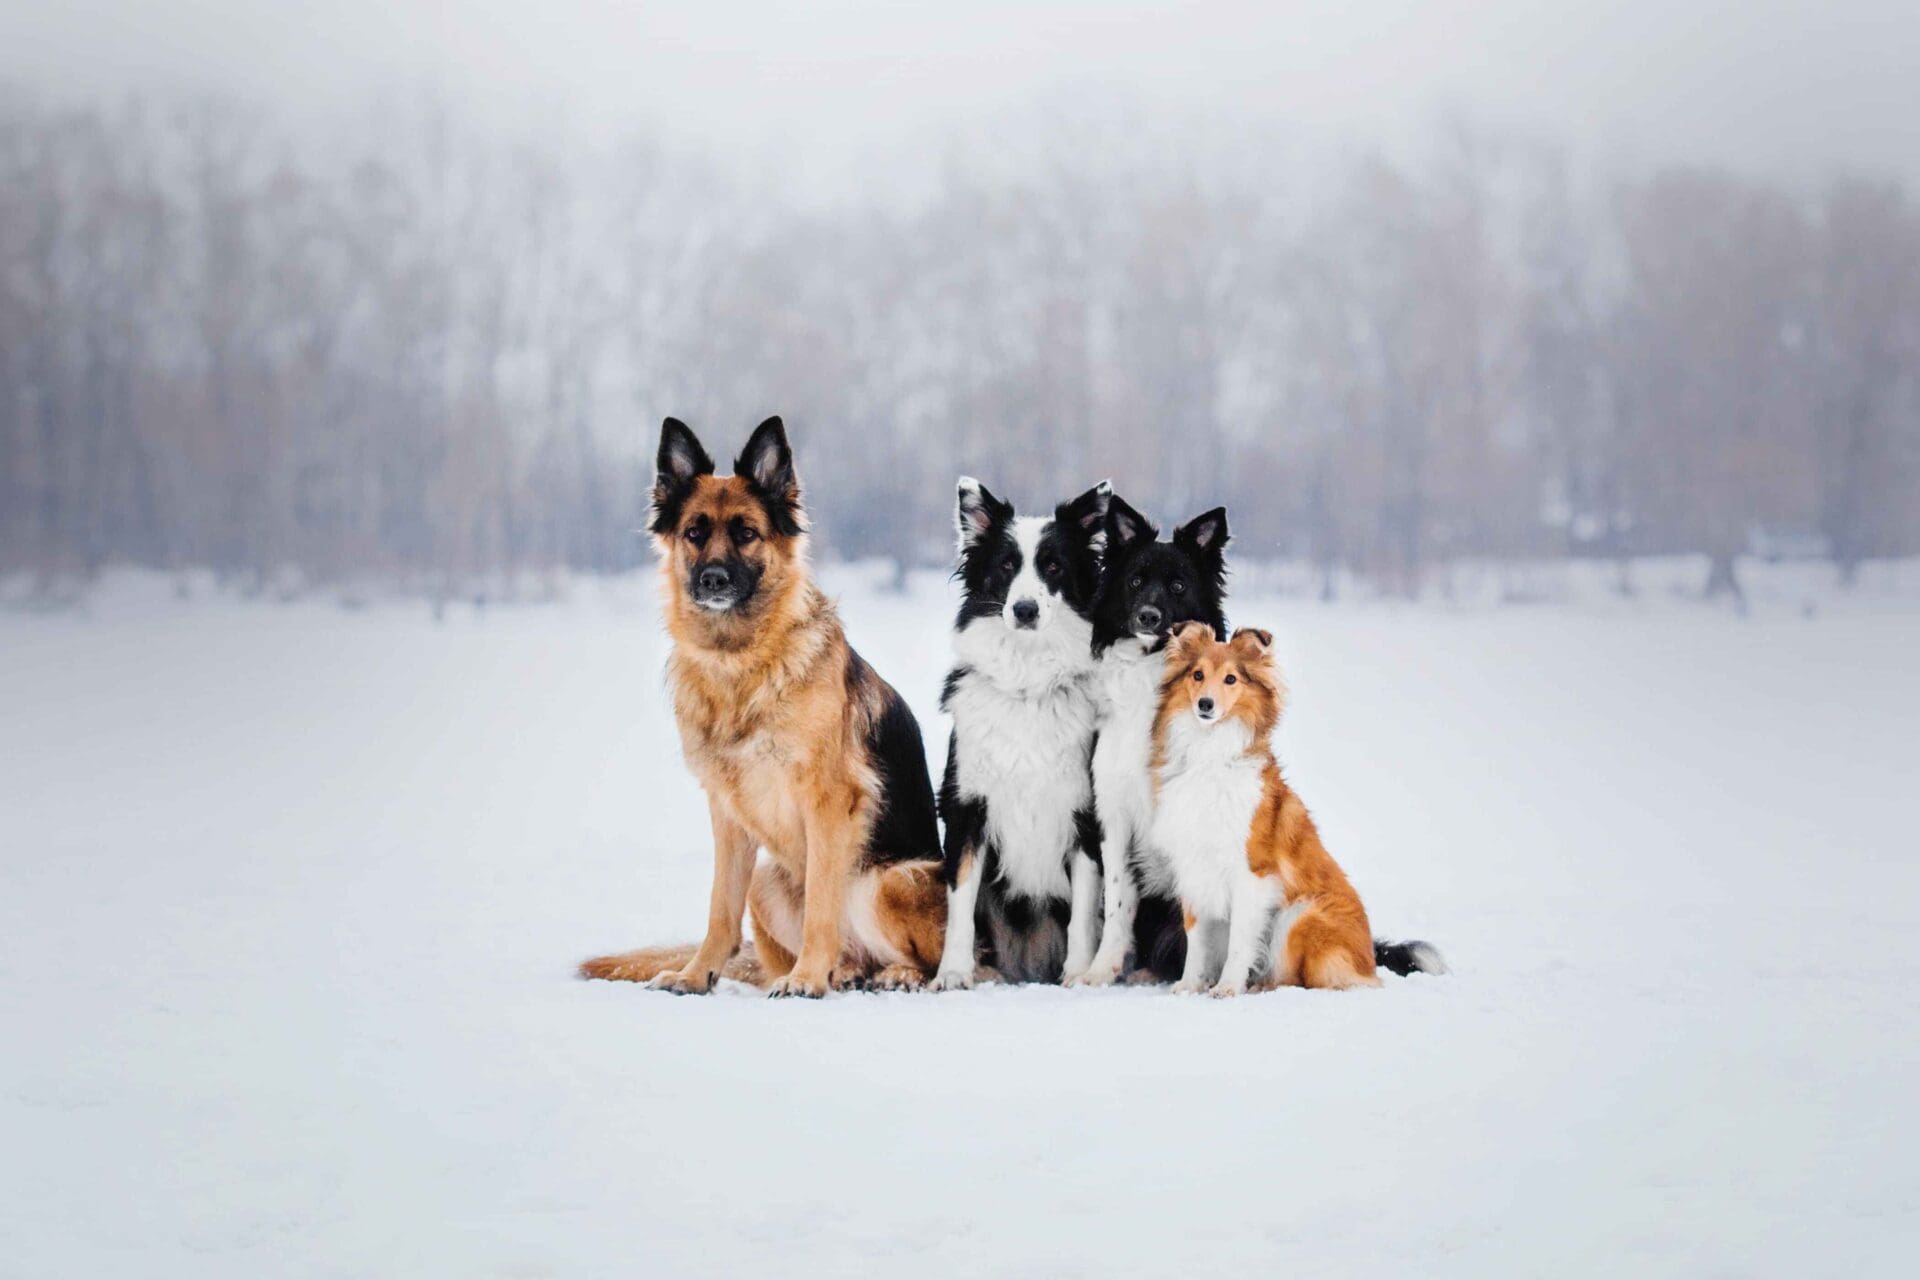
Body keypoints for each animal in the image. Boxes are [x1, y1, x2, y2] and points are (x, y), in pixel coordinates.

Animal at [579, 416, 948, 997]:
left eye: (747, 533)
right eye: (694, 533)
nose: (713, 579)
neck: (742, 665)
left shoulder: (829, 802)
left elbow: (821, 903)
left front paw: (808, 977)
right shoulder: (726, 811)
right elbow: (718, 908)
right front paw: (696, 974)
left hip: (892, 878)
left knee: (938, 960)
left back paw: (890, 973)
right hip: (766, 878)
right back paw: (845, 972)